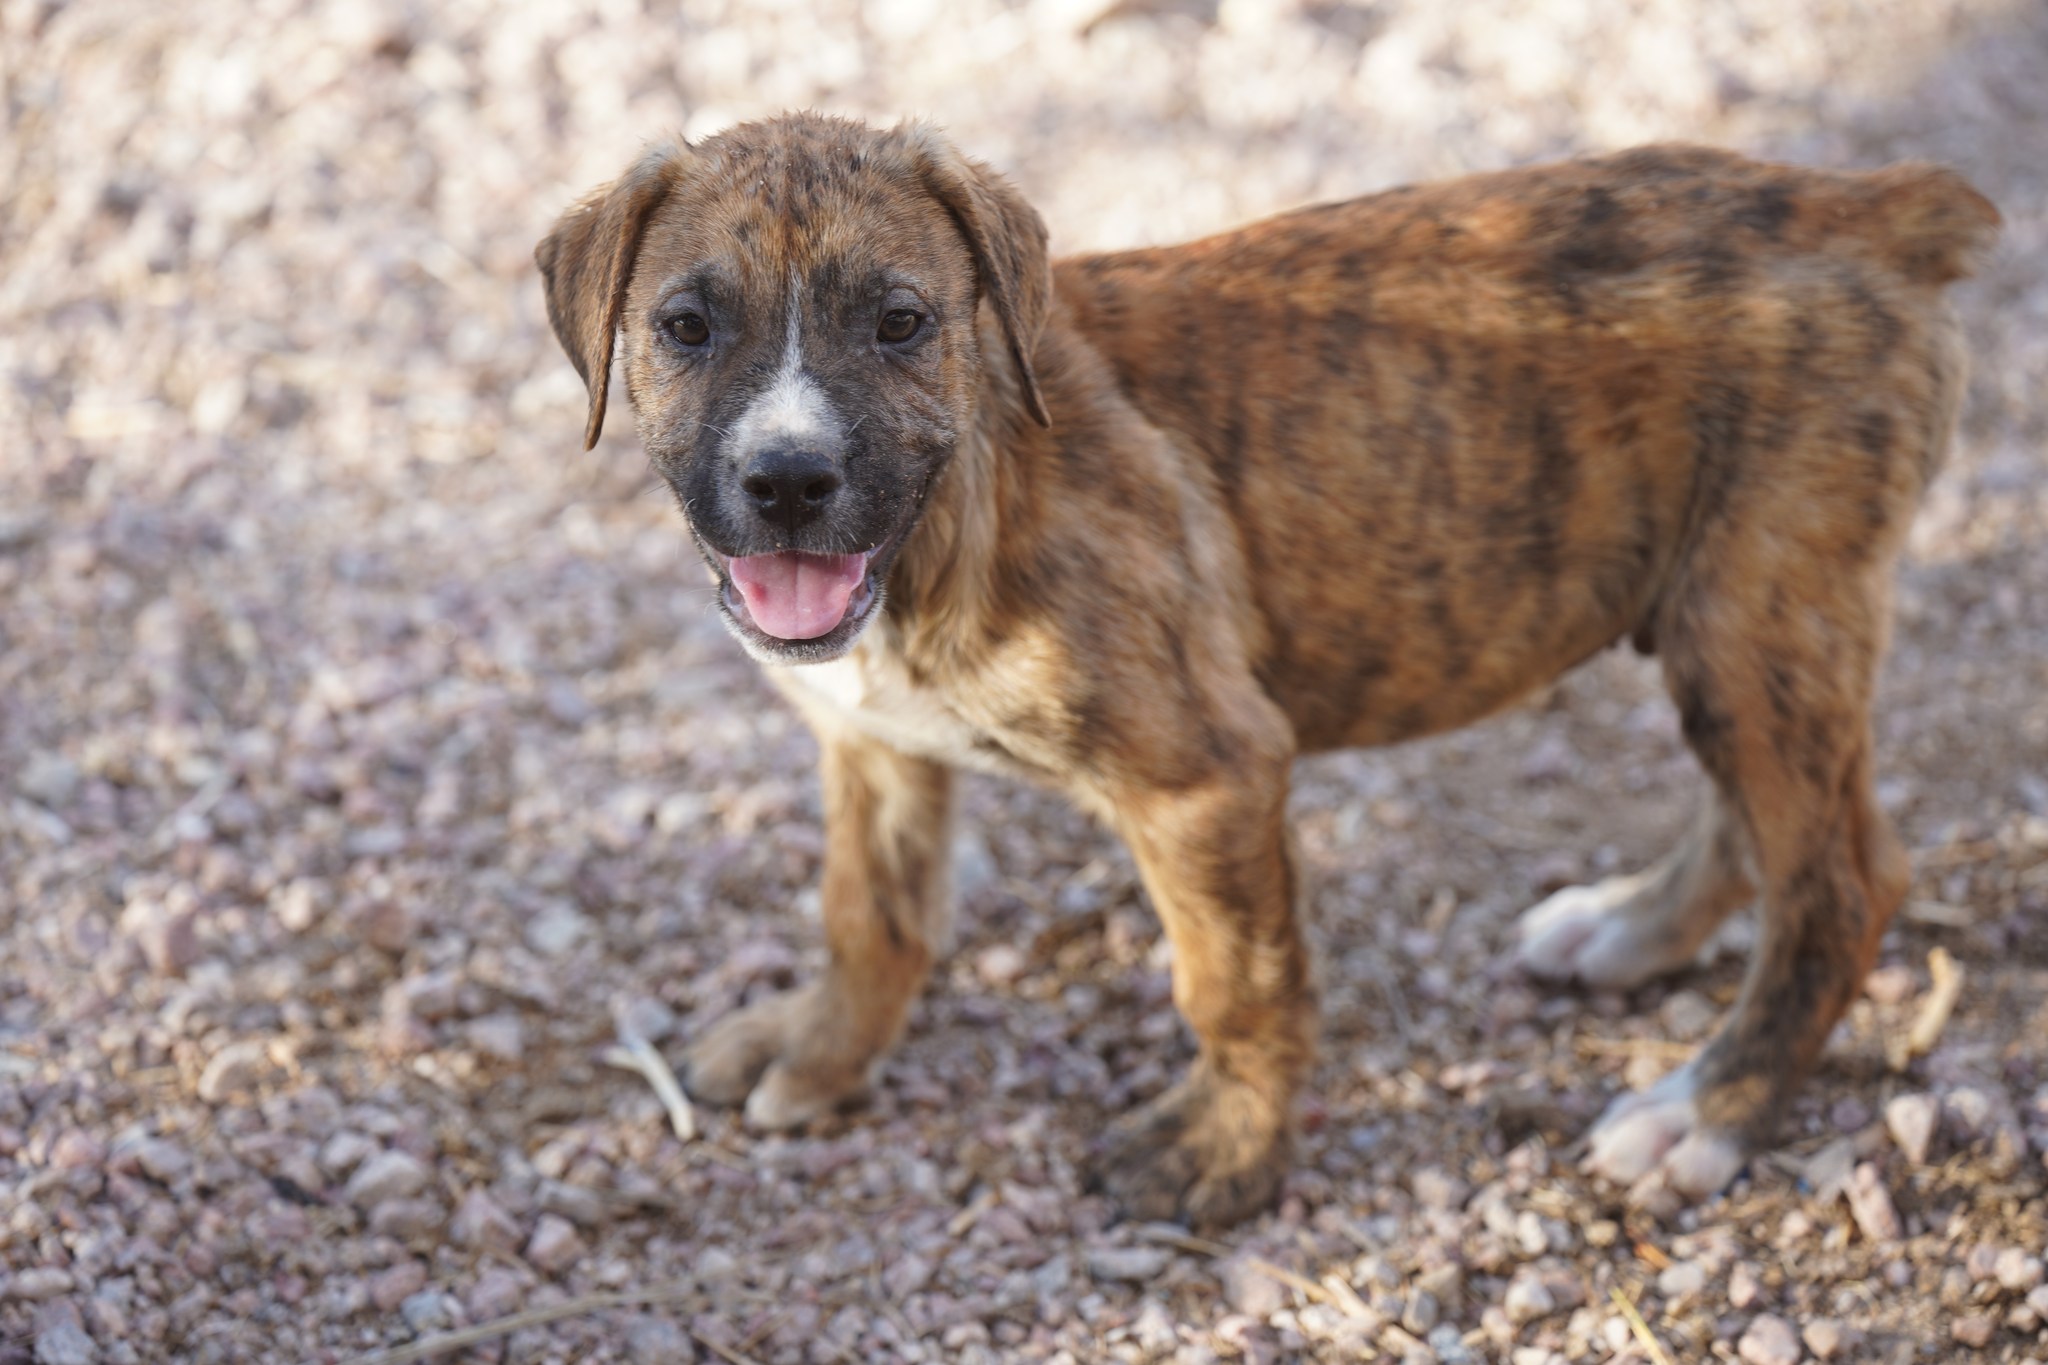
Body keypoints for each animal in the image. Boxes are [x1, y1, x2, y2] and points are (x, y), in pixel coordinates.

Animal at [536, 114, 1990, 1227]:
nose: (788, 483)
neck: (959, 513)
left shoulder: (1206, 776)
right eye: (685, 325)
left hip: (1759, 614)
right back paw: (1631, 932)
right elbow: (868, 911)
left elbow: (1232, 979)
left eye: (900, 322)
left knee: (1842, 879)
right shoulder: (873, 744)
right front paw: (821, 1048)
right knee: (1763, 827)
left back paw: (1709, 1109)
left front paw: (1222, 1150)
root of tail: (1865, 208)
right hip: (1732, 622)